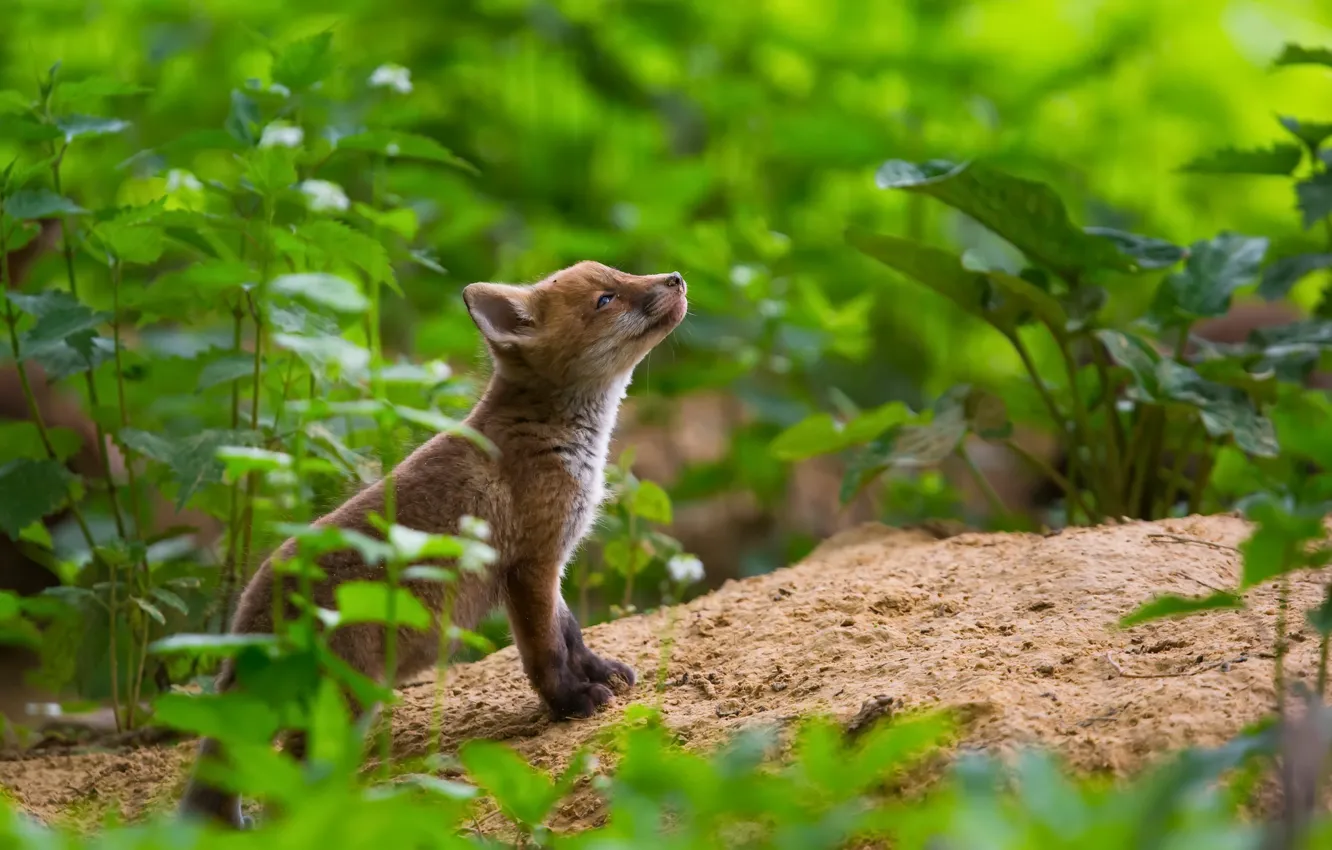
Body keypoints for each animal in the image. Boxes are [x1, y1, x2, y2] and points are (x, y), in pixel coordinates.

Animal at [177, 260, 688, 828]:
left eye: (621, 273)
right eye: (605, 299)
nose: (675, 278)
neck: (553, 438)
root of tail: (247, 621)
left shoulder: (551, 564)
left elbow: (571, 633)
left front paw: (598, 672)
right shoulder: (529, 567)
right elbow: (546, 651)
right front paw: (570, 702)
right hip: (345, 703)